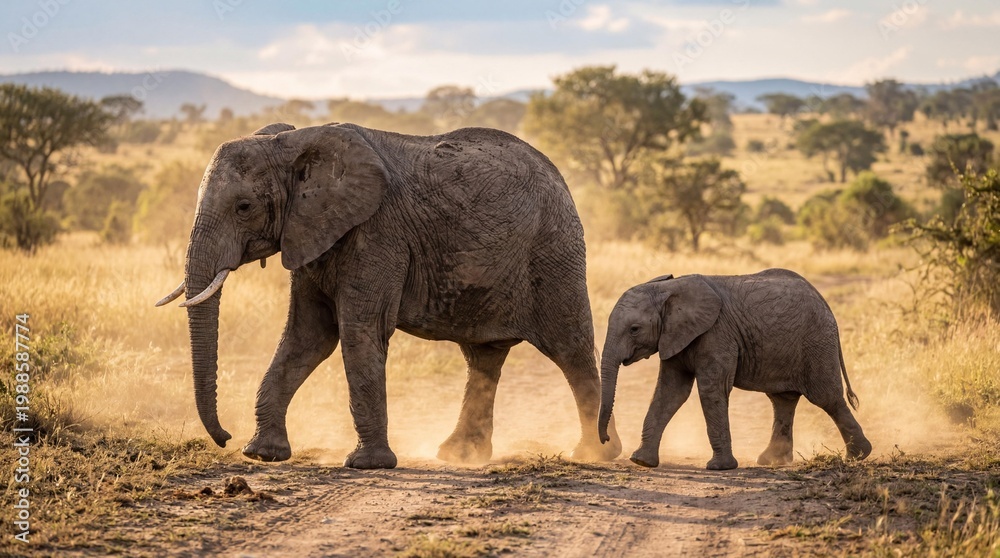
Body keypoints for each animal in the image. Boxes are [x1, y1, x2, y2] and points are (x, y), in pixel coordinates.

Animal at [155, 122, 622, 469]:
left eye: (244, 207)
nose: (224, 437)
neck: (294, 143)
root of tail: (559, 177)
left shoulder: (378, 233)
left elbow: (358, 331)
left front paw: (368, 464)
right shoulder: (310, 233)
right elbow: (307, 337)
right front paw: (263, 454)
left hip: (554, 250)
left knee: (570, 347)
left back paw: (596, 453)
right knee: (484, 357)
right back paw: (459, 456)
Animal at [596, 269, 871, 471]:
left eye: (634, 329)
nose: (606, 440)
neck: (669, 288)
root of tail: (824, 301)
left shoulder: (716, 333)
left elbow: (711, 390)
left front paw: (720, 468)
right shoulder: (675, 336)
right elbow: (670, 392)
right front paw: (641, 461)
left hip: (817, 342)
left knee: (827, 398)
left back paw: (858, 456)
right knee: (783, 401)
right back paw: (772, 461)